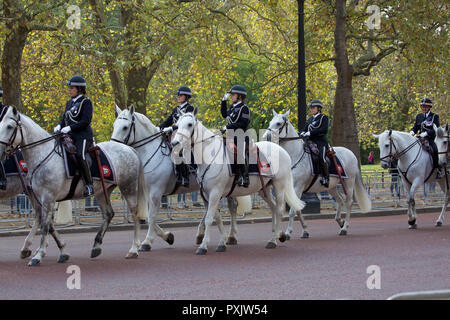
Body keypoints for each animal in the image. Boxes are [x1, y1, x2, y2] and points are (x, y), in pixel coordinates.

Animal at [0, 106, 149, 266]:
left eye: (9, 126)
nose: (1, 151)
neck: (43, 155)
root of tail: (129, 149)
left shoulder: (48, 198)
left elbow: (46, 225)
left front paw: (38, 255)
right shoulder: (40, 197)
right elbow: (47, 224)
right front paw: (61, 252)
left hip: (128, 187)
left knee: (135, 214)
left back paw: (134, 249)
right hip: (102, 191)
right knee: (109, 214)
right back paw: (96, 246)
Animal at [110, 106, 250, 249]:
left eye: (125, 127)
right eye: (114, 125)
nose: (113, 147)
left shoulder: (155, 192)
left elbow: (151, 216)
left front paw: (147, 241)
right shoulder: (147, 192)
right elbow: (148, 216)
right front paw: (167, 236)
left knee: (230, 206)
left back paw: (228, 236)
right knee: (220, 207)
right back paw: (207, 235)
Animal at [172, 109, 306, 254]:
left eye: (190, 124)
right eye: (177, 125)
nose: (175, 143)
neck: (210, 156)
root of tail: (282, 151)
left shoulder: (215, 193)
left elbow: (209, 219)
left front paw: (203, 246)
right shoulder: (207, 195)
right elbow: (216, 217)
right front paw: (222, 241)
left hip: (279, 186)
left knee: (280, 209)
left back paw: (273, 240)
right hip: (264, 189)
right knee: (274, 207)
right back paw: (277, 234)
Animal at [262, 110, 370, 238]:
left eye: (278, 123)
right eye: (270, 122)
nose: (265, 137)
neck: (294, 155)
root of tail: (351, 153)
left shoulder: (298, 186)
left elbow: (293, 210)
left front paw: (288, 232)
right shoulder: (290, 189)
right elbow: (297, 209)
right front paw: (305, 230)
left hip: (348, 183)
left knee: (348, 202)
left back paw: (344, 228)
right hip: (331, 186)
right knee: (340, 200)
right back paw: (340, 221)